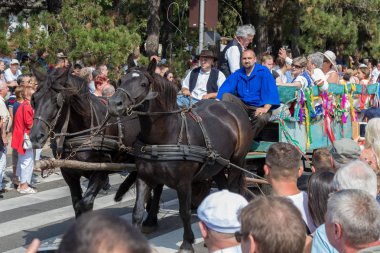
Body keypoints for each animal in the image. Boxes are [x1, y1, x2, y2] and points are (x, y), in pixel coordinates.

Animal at [29, 67, 140, 217]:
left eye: (57, 100)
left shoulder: (100, 171)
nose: (35, 136)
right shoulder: (69, 173)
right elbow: (77, 204)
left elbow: (85, 204)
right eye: (34, 99)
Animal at [108, 63, 254, 253]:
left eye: (143, 84)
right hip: (216, 165)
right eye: (121, 80)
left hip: (237, 161)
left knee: (234, 190)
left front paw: (187, 243)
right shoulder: (144, 178)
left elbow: (184, 211)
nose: (113, 104)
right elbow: (137, 211)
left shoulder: (183, 182)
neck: (164, 135)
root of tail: (233, 107)